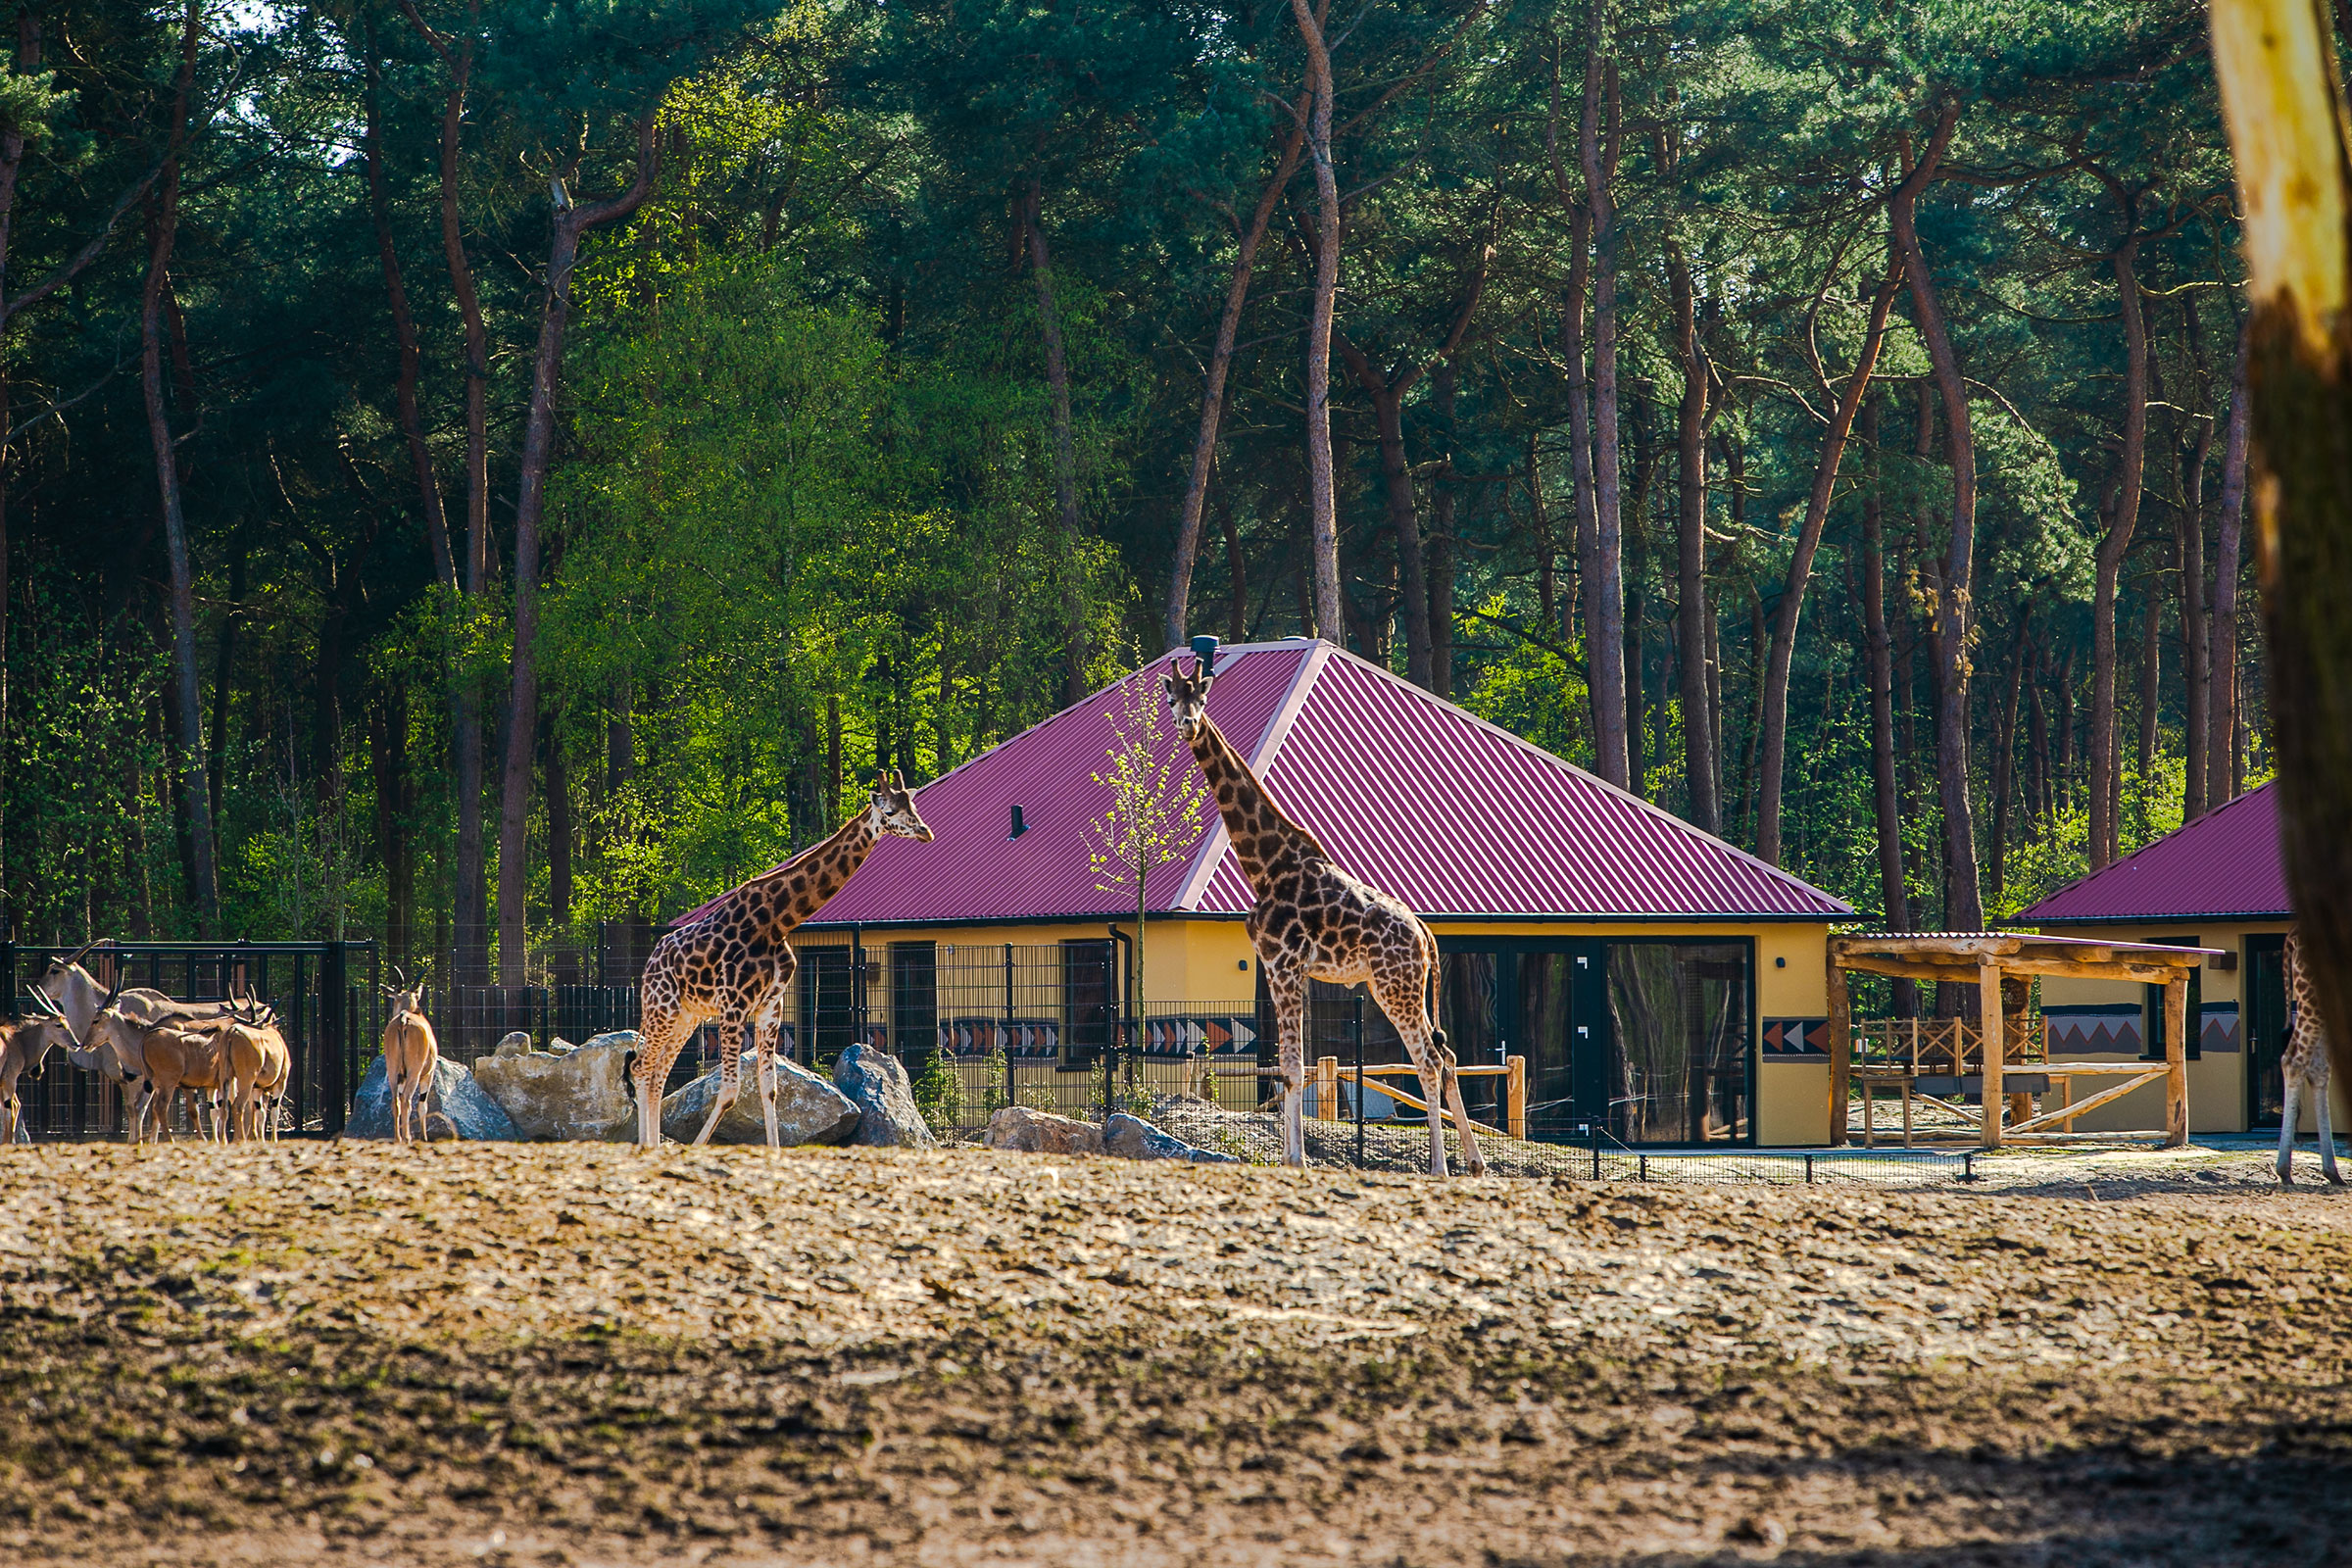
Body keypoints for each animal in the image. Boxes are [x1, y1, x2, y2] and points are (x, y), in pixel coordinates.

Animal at [625, 770, 936, 1152]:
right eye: (891, 811)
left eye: (914, 806)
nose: (926, 832)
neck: (777, 921)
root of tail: (650, 962)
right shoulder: (734, 1005)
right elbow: (730, 1090)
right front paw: (697, 1148)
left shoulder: (771, 1005)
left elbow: (769, 1088)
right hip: (662, 1007)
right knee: (642, 1067)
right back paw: (646, 1146)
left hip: (688, 1016)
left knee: (657, 1072)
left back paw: (652, 1145)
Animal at [1161, 649, 1486, 1175]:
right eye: (1173, 698)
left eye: (1202, 698)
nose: (1188, 725)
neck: (1265, 865)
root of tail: (1425, 934)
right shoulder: (1278, 969)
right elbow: (1289, 1067)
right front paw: (1290, 1156)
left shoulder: (1284, 966)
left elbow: (1294, 1068)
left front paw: (1298, 1160)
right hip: (1404, 987)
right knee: (1448, 1053)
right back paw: (1473, 1164)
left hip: (1394, 986)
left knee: (1429, 1060)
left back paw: (1440, 1167)